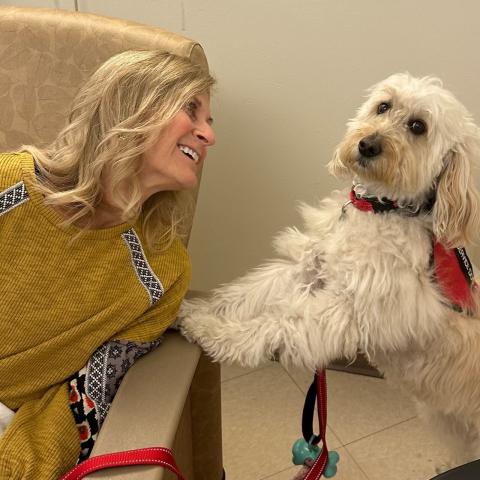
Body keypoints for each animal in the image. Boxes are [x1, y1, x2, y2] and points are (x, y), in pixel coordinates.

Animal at [178, 74, 480, 468]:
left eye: (418, 126)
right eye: (383, 106)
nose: (367, 144)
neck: (378, 209)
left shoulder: (348, 308)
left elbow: (275, 322)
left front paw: (214, 333)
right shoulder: (312, 266)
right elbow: (247, 293)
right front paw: (198, 311)